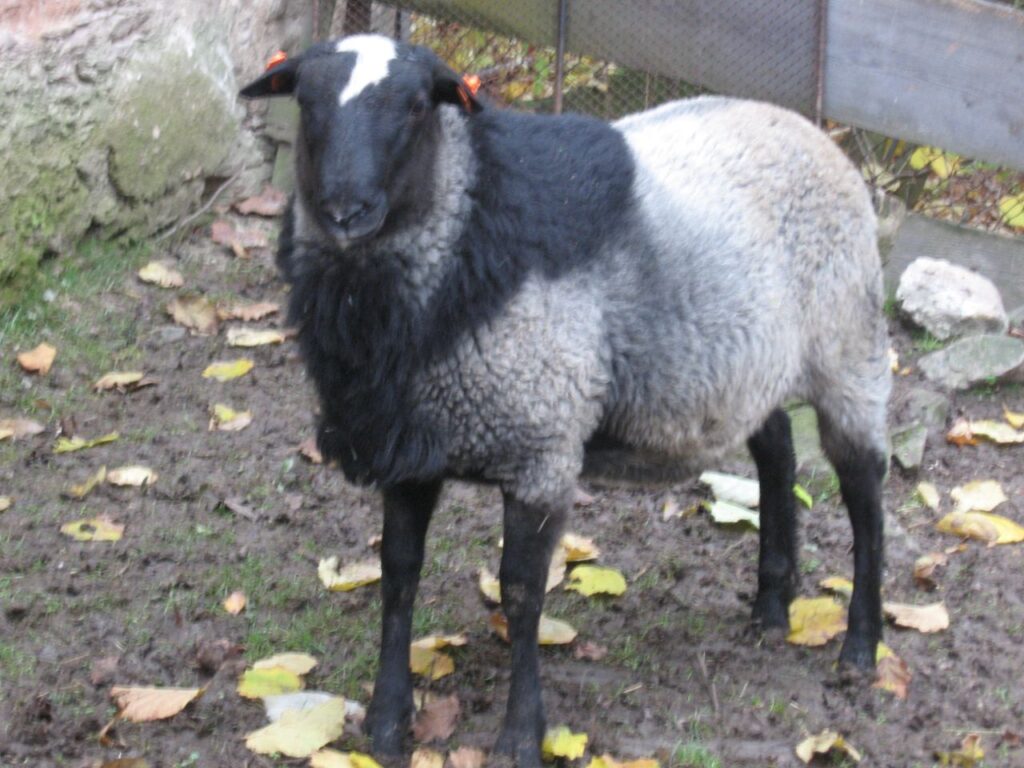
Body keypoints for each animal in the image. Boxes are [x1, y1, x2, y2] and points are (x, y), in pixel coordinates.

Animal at [240, 33, 891, 767]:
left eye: (414, 107)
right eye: (306, 101)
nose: (345, 212)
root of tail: (809, 127)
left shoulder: (541, 448)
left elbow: (521, 592)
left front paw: (522, 735)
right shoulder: (409, 444)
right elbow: (397, 571)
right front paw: (386, 723)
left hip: (848, 348)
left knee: (864, 490)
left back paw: (859, 647)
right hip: (746, 362)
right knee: (777, 453)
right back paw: (772, 609)